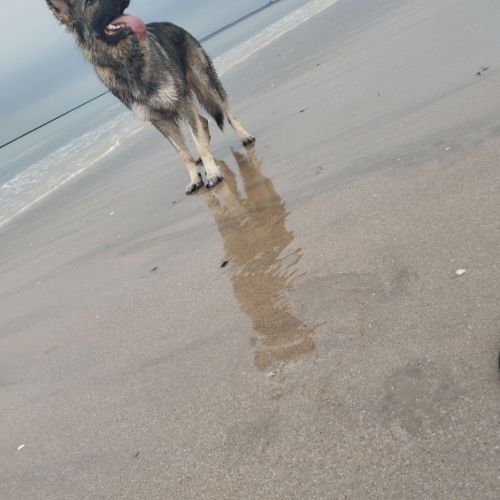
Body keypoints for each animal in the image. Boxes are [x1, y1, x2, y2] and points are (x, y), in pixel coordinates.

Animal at [45, 0, 255, 194]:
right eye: (90, 2)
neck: (126, 61)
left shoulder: (181, 104)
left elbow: (199, 142)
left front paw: (211, 173)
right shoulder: (159, 120)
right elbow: (182, 153)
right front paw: (195, 178)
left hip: (206, 81)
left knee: (227, 111)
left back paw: (244, 136)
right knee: (203, 122)